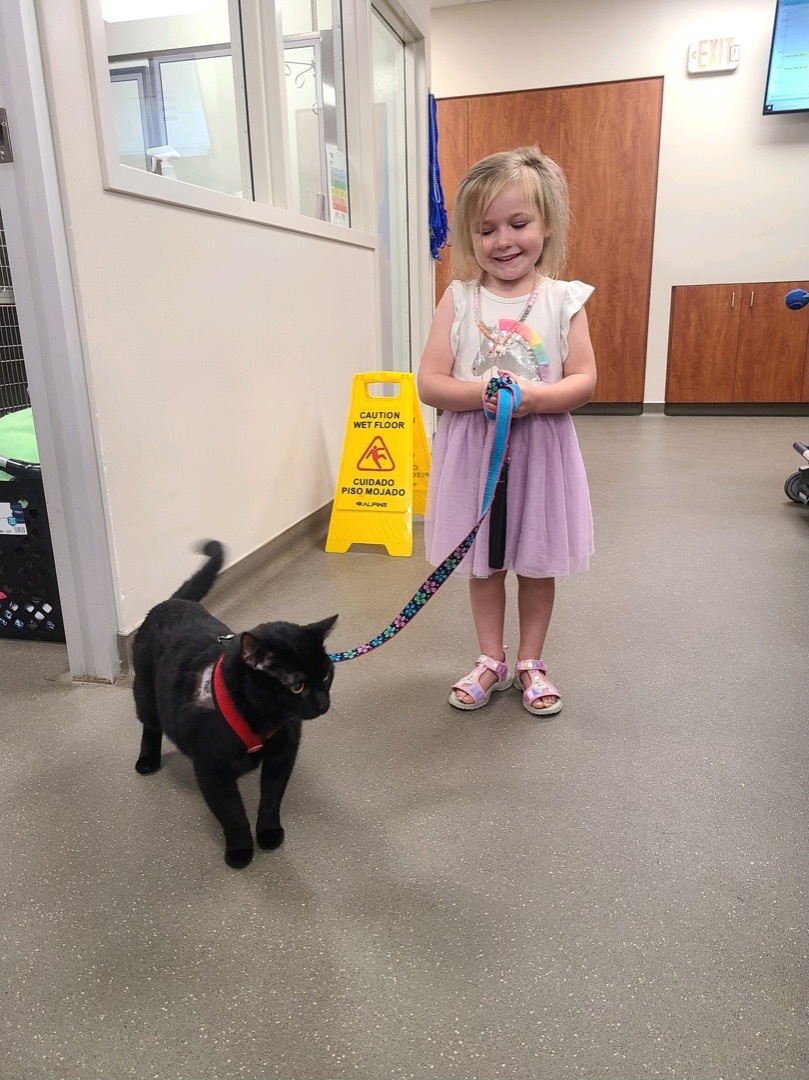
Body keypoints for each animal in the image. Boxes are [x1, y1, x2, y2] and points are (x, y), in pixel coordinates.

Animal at [133, 540, 336, 868]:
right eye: (297, 686)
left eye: (327, 675)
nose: (323, 704)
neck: (263, 719)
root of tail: (173, 602)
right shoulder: (212, 771)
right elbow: (232, 814)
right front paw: (240, 850)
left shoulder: (282, 755)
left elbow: (271, 799)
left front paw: (269, 833)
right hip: (145, 694)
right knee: (150, 726)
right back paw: (148, 759)